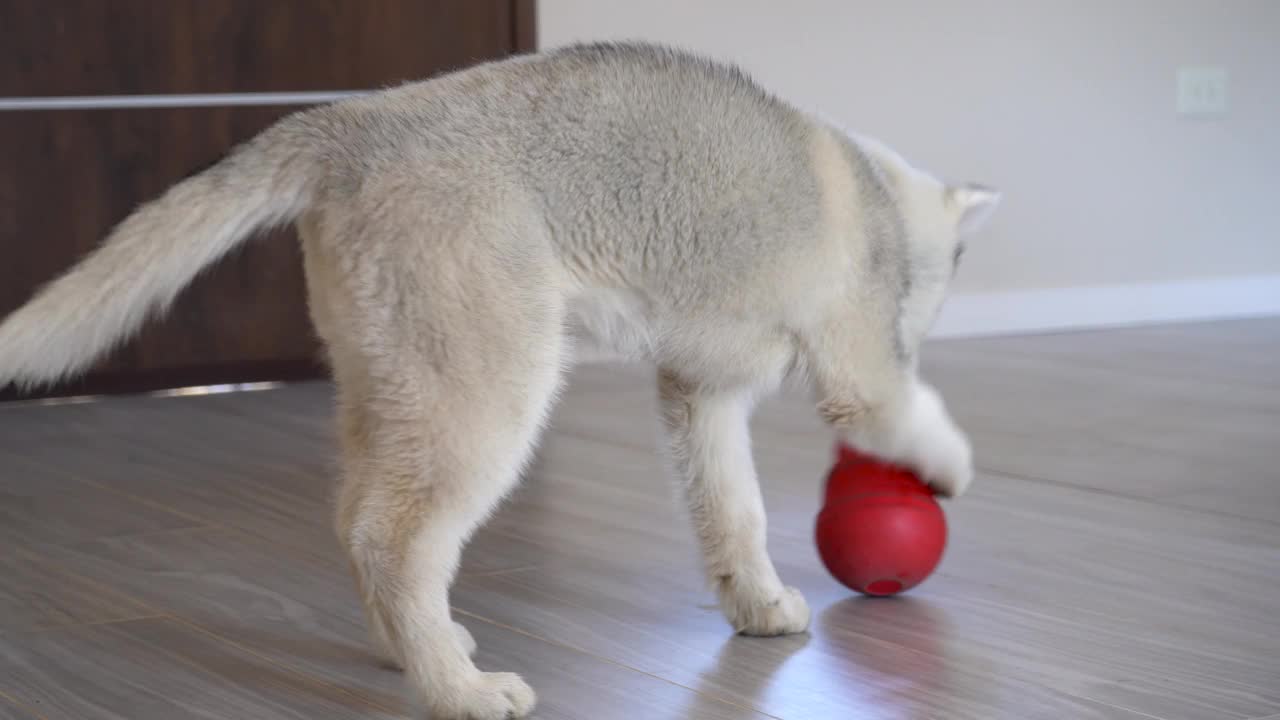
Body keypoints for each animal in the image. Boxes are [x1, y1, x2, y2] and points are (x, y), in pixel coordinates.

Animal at [0, 41, 998, 712]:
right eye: (940, 284)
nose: (926, 326)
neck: (879, 192)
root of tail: (352, 121)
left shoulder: (700, 394)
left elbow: (735, 513)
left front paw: (756, 605)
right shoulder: (859, 375)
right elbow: (914, 416)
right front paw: (951, 469)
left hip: (392, 387)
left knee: (353, 518)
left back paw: (415, 651)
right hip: (488, 396)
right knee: (391, 539)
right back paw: (460, 690)